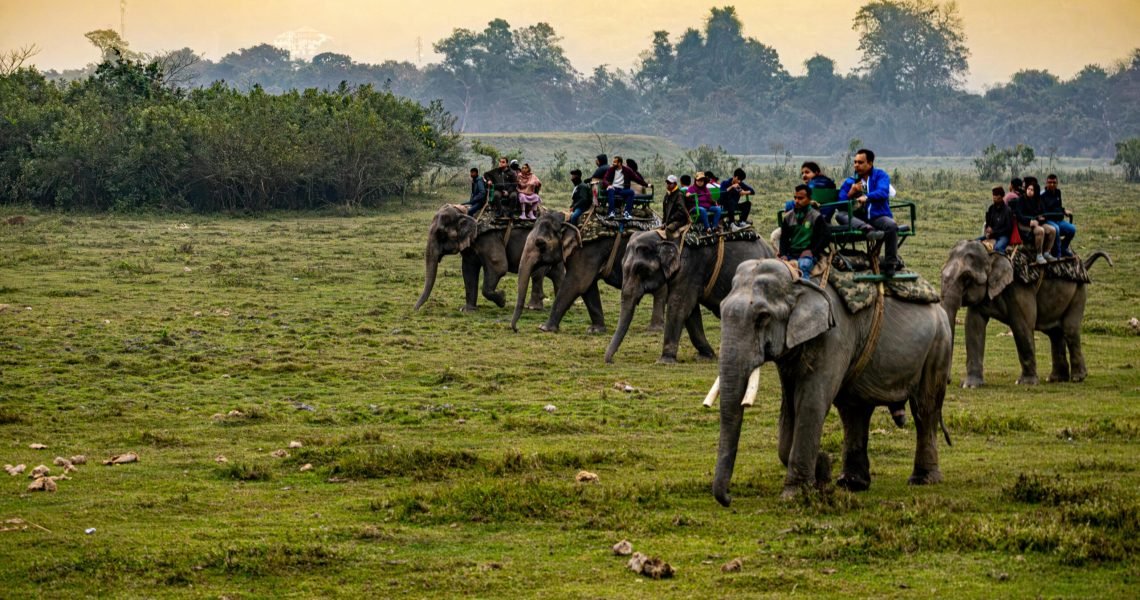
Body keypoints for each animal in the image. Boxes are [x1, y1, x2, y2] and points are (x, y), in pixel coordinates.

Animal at [415, 204, 564, 312]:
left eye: (441, 234)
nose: (415, 309)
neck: (465, 211)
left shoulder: (488, 237)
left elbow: (498, 266)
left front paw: (502, 299)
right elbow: (468, 270)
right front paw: (467, 310)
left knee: (537, 274)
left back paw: (533, 307)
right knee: (556, 274)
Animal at [510, 211, 664, 334]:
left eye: (540, 243)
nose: (516, 329)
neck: (568, 218)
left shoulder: (587, 250)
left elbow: (577, 283)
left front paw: (544, 328)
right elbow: (588, 287)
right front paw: (595, 330)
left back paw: (654, 330)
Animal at [605, 230, 774, 364]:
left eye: (640, 269)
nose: (611, 361)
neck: (666, 236)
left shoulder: (691, 267)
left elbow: (679, 306)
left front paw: (664, 361)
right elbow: (691, 313)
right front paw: (706, 356)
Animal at [711, 259, 952, 504]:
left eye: (763, 317)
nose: (728, 499)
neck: (799, 280)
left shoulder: (835, 335)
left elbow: (810, 403)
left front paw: (796, 494)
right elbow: (789, 407)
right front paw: (822, 470)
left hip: (938, 345)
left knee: (925, 408)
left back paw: (922, 479)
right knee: (854, 412)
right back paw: (852, 483)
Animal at [939, 240, 1112, 387]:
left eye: (966, 277)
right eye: (941, 274)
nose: (948, 381)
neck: (992, 251)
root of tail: (1082, 264)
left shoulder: (1019, 286)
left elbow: (1022, 325)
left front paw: (1026, 383)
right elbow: (973, 327)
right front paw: (970, 385)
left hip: (1079, 292)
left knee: (1070, 330)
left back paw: (1077, 378)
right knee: (1055, 334)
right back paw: (1056, 379)